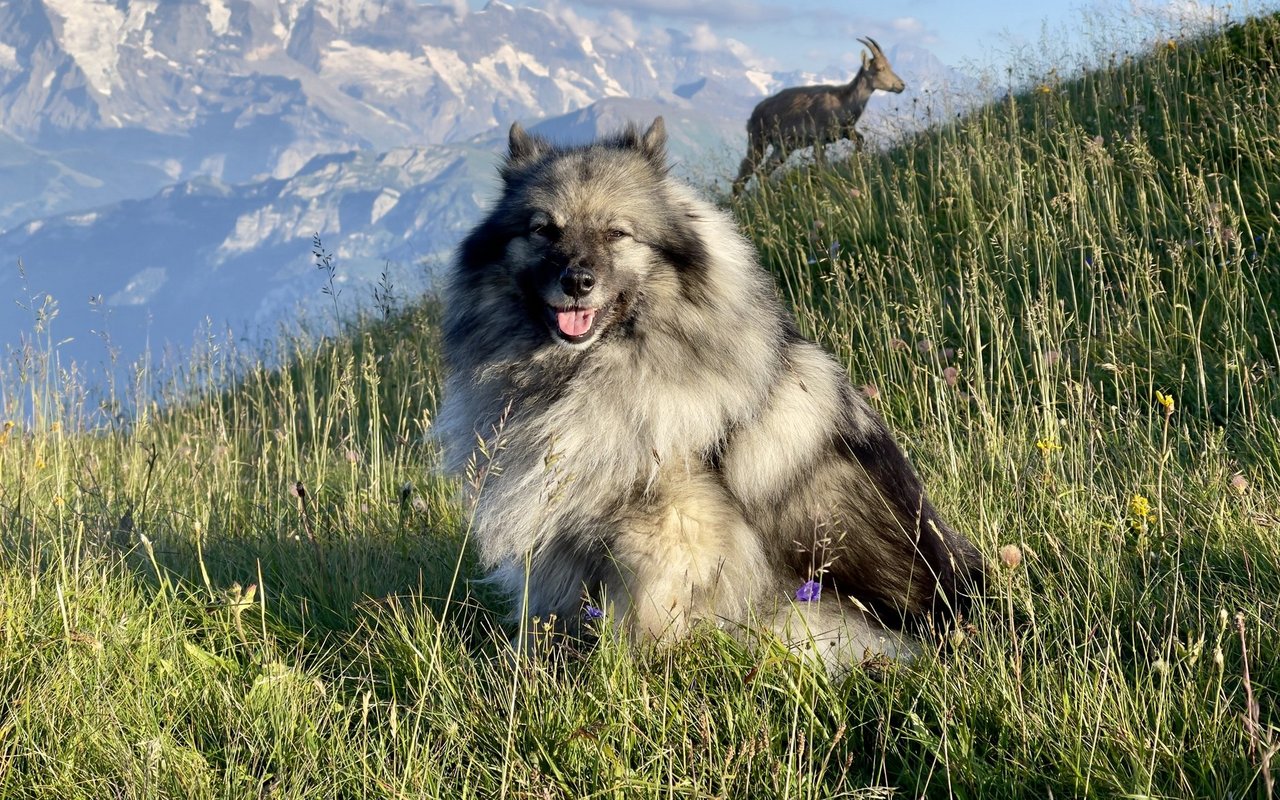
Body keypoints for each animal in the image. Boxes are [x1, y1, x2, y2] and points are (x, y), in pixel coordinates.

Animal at [435, 117, 983, 665]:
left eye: (617, 233)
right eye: (543, 229)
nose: (577, 281)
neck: (579, 371)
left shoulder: (662, 533)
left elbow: (638, 627)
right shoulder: (558, 538)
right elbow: (546, 614)